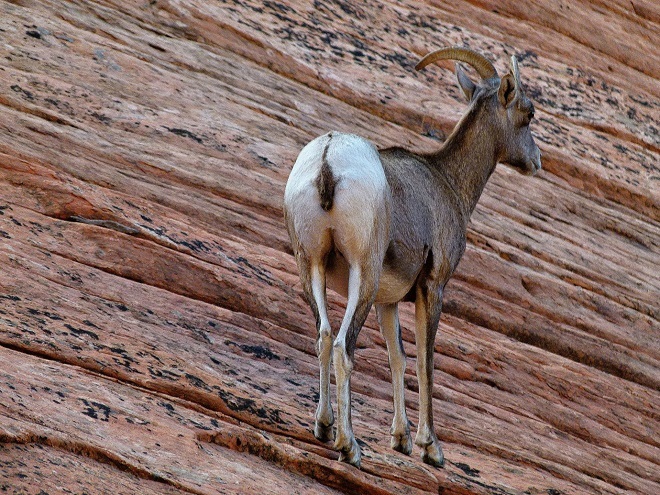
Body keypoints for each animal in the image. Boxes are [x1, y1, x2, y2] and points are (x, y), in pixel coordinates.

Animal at [282, 46, 540, 468]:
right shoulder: (432, 287)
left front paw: (400, 440)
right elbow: (424, 361)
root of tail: (328, 160)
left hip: (312, 267)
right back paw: (349, 446)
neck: (448, 182)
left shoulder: (388, 302)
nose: (536, 161)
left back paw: (323, 427)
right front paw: (429, 447)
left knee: (322, 336)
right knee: (342, 346)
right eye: (528, 112)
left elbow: (397, 358)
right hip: (363, 275)